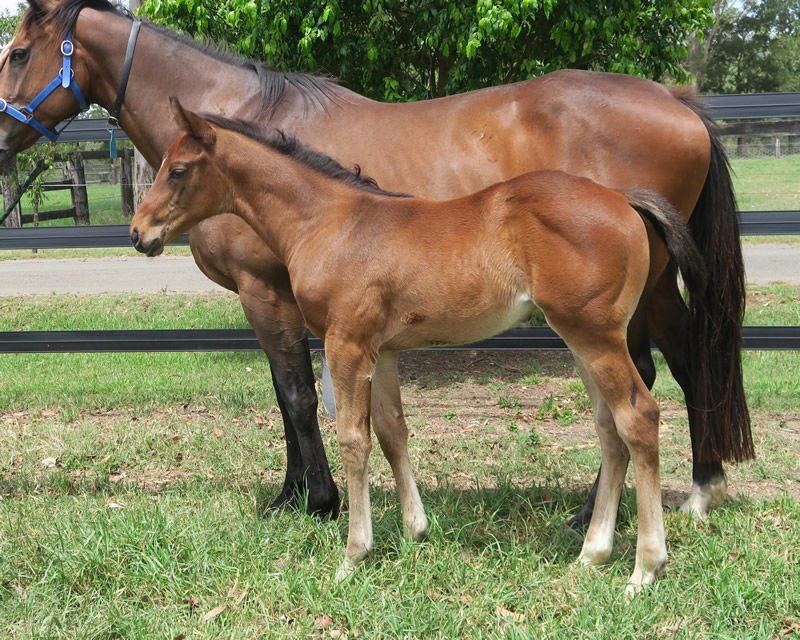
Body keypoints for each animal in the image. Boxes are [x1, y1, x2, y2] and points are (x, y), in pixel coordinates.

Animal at [0, 0, 752, 523]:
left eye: (15, 52)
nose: (1, 138)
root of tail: (676, 101)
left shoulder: (263, 290)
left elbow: (297, 395)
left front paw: (315, 502)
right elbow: (286, 394)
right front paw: (297, 494)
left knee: (651, 377)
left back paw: (609, 512)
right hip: (644, 291)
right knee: (682, 362)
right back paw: (694, 490)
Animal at [129, 99, 708, 594]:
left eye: (178, 170)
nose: (138, 233)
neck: (330, 222)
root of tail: (621, 198)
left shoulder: (347, 344)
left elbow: (354, 439)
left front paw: (353, 555)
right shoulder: (382, 350)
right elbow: (393, 433)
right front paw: (415, 530)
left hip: (595, 335)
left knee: (637, 418)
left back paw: (645, 568)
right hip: (581, 338)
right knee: (610, 429)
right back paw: (592, 553)